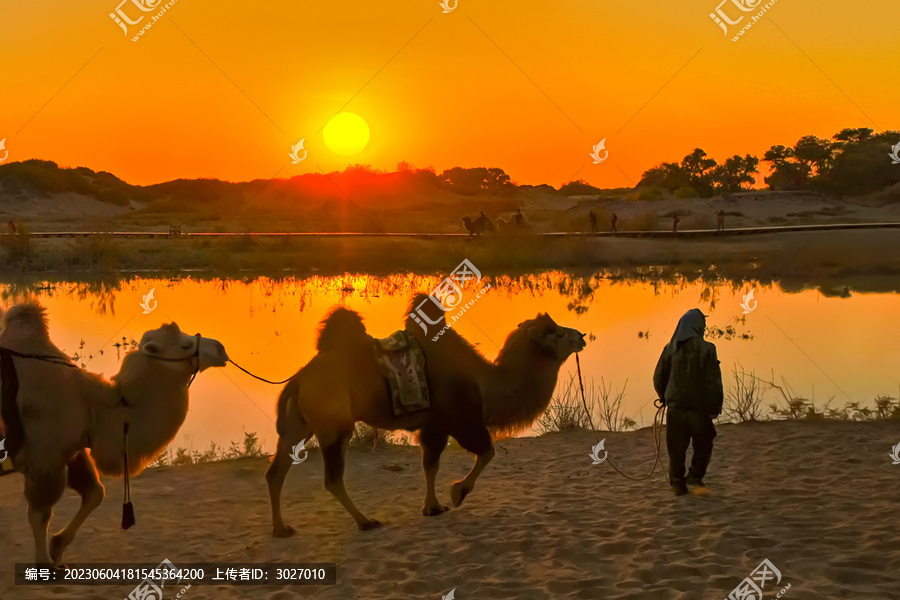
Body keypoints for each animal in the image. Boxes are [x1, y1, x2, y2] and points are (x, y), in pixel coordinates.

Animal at [0, 302, 229, 564]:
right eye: (185, 345)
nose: (221, 348)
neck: (91, 403)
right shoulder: (44, 457)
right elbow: (41, 513)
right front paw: (45, 564)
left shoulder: (71, 450)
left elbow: (95, 493)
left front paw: (57, 548)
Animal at [266, 292, 592, 536]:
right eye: (558, 333)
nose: (582, 335)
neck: (486, 384)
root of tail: (298, 379)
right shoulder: (460, 420)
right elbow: (487, 452)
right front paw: (457, 493)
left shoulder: (434, 426)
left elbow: (430, 465)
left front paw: (432, 507)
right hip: (335, 425)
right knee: (332, 477)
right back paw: (366, 521)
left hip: (298, 425)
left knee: (276, 471)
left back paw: (281, 529)